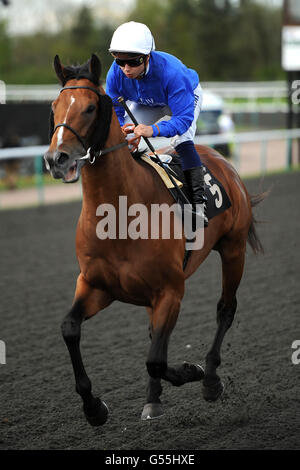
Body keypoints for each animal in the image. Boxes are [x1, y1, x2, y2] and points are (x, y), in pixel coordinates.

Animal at [44, 52, 264, 426]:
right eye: (54, 106)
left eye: (89, 107)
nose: (57, 158)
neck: (118, 218)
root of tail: (223, 161)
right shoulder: (96, 285)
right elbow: (70, 327)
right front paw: (94, 407)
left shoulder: (171, 290)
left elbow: (156, 360)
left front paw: (194, 372)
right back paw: (154, 399)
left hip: (233, 249)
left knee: (225, 310)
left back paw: (210, 379)